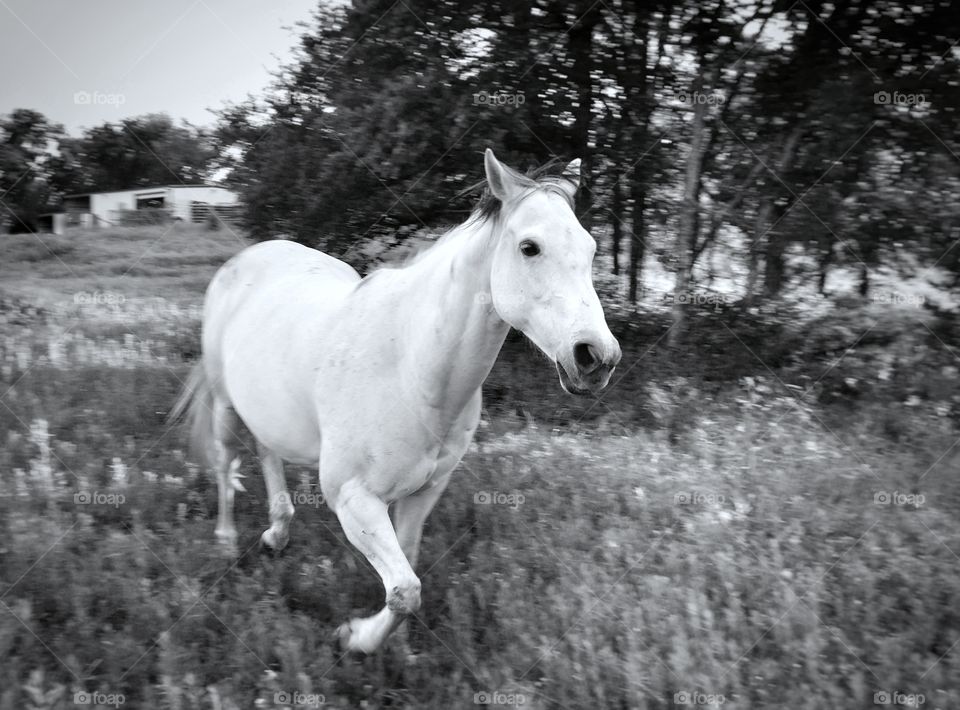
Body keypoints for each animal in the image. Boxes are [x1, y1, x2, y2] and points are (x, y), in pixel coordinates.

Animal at [170, 149, 621, 653]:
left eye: (591, 249)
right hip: (225, 405)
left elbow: (406, 569)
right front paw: (356, 639)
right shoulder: (353, 500)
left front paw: (397, 648)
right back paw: (227, 541)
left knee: (268, 452)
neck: (411, 368)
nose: (596, 357)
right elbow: (406, 590)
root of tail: (249, 257)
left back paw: (277, 534)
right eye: (529, 247)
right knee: (226, 462)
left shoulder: (424, 492)